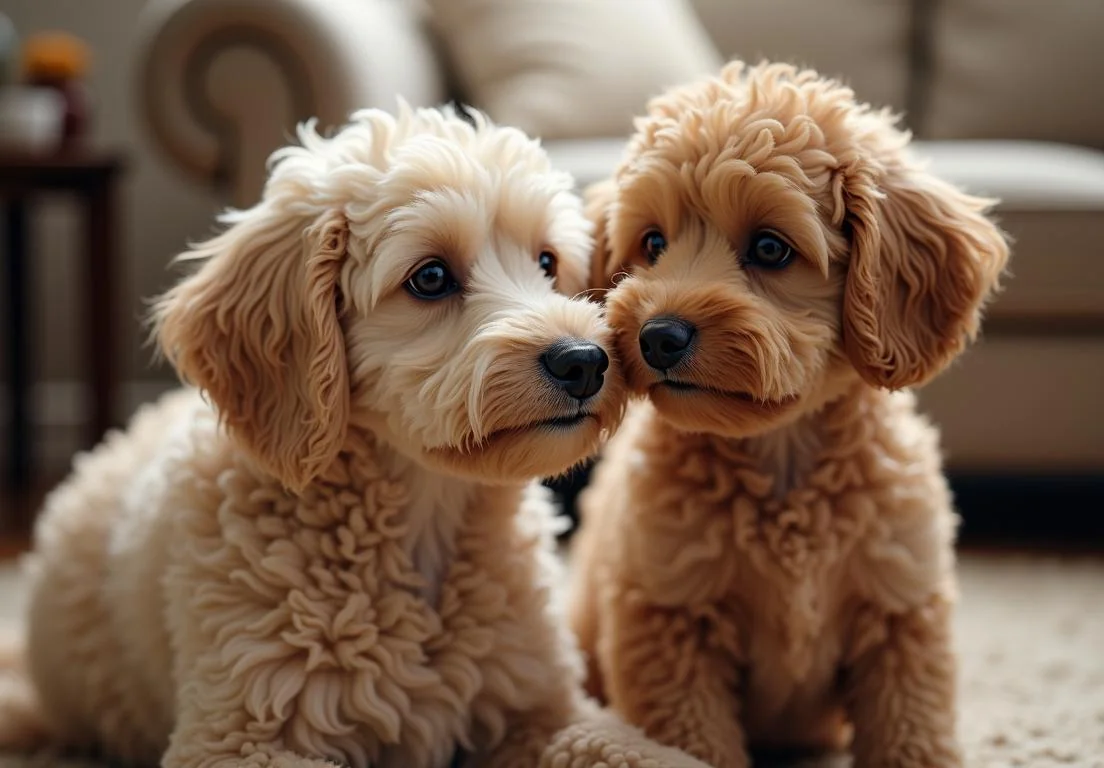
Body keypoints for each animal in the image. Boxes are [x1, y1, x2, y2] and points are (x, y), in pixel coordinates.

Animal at [0, 104, 706, 768]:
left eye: (546, 262)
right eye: (430, 278)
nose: (584, 361)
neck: (421, 517)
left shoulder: (546, 709)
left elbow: (637, 750)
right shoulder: (233, 740)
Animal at [569, 61, 1011, 768]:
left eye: (771, 249)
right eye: (653, 242)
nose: (658, 336)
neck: (781, 455)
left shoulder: (900, 613)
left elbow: (907, 734)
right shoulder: (672, 619)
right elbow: (694, 745)